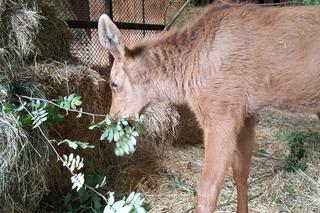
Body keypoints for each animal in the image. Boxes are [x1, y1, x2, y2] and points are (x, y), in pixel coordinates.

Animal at [97, 3, 320, 213]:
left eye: (114, 83)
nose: (113, 119)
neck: (185, 74)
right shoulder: (246, 115)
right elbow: (240, 172)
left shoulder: (221, 115)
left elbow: (207, 188)